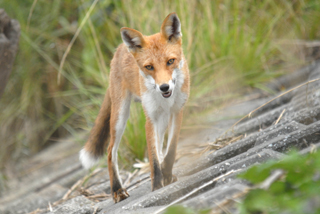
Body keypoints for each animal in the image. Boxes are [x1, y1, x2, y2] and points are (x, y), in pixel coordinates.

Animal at [80, 12, 190, 203]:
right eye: (149, 67)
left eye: (170, 61)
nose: (164, 87)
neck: (166, 100)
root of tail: (120, 48)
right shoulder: (150, 119)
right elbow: (153, 158)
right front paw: (157, 186)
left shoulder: (177, 111)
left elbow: (170, 150)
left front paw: (167, 175)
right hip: (120, 116)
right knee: (110, 151)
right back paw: (117, 190)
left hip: (160, 119)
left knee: (160, 146)